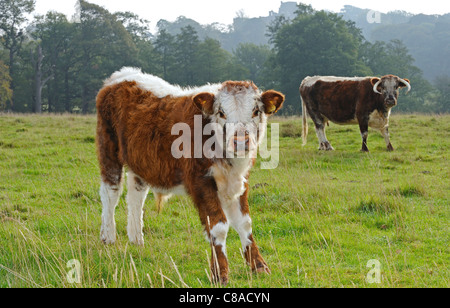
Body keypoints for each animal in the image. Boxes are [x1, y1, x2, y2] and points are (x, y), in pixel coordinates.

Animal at [95, 66, 284, 286]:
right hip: (108, 148)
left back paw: (136, 240)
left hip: (140, 161)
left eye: (256, 111)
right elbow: (218, 226)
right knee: (110, 192)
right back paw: (108, 236)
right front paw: (220, 273)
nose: (240, 142)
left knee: (135, 196)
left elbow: (245, 223)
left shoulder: (240, 180)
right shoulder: (201, 182)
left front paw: (259, 266)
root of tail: (122, 75)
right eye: (221, 112)